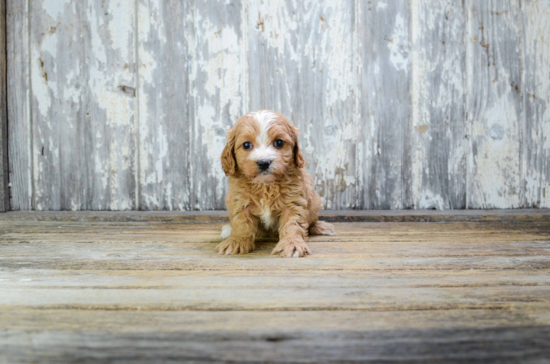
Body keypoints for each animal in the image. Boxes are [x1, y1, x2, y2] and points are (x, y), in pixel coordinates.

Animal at [217, 109, 336, 258]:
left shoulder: (293, 202)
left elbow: (292, 225)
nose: (264, 162)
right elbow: (241, 223)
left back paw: (321, 226)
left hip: (314, 202)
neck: (265, 184)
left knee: (312, 221)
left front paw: (292, 244)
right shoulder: (239, 201)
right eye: (246, 145)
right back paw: (228, 230)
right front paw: (236, 241)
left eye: (279, 143)